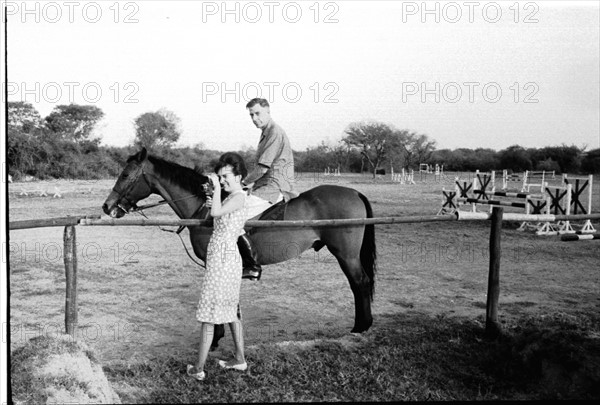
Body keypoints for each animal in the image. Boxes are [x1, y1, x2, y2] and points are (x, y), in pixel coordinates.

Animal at [102, 148, 376, 348]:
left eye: (125, 175)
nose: (107, 206)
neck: (207, 209)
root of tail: (353, 192)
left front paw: (214, 339)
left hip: (346, 254)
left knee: (360, 283)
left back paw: (360, 327)